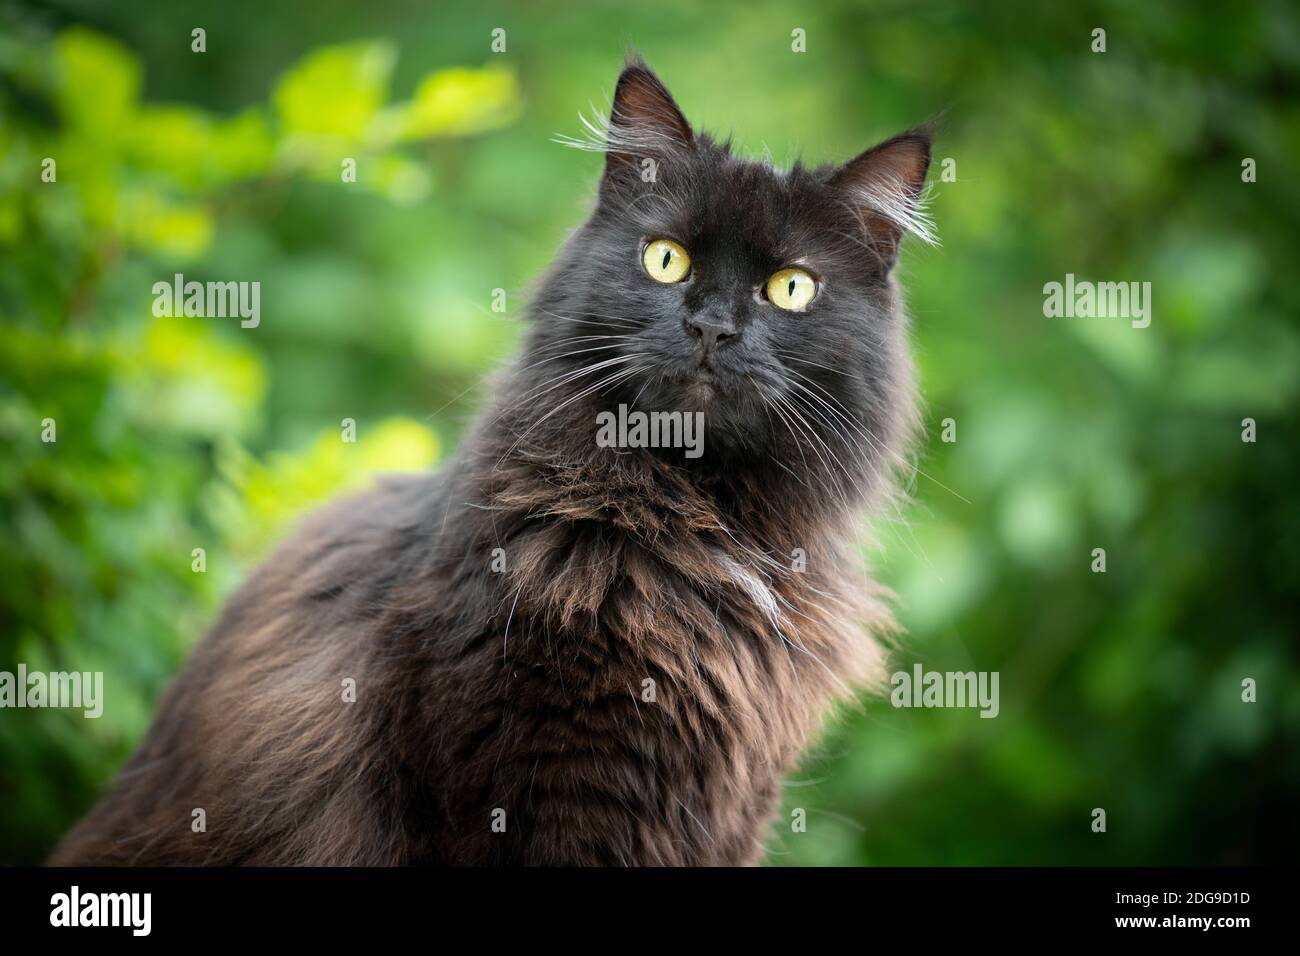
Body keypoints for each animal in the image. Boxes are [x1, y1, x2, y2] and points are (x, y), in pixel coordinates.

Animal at [50, 59, 930, 868]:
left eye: (790, 288)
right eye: (666, 260)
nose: (712, 327)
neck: (698, 527)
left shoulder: (728, 803)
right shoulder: (517, 781)